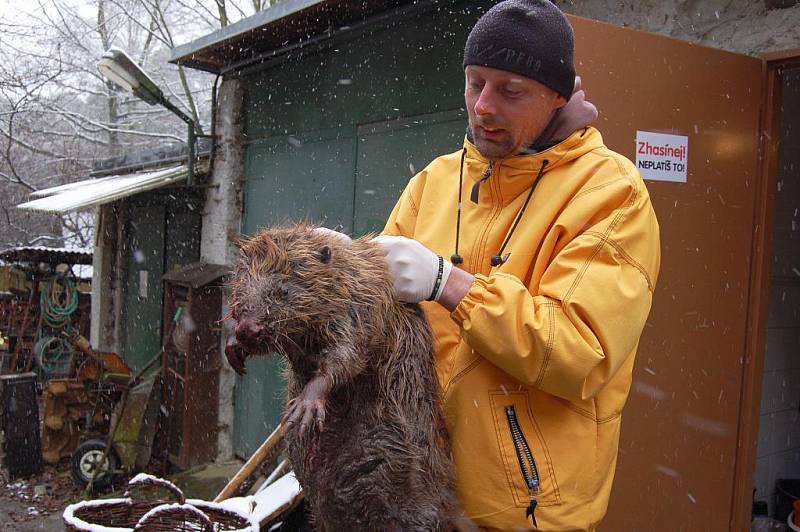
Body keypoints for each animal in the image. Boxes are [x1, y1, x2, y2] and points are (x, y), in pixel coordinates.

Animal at [225, 222, 462, 528]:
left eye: (283, 290)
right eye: (241, 284)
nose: (248, 329)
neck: (344, 274)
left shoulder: (364, 307)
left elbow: (348, 355)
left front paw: (304, 408)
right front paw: (233, 349)